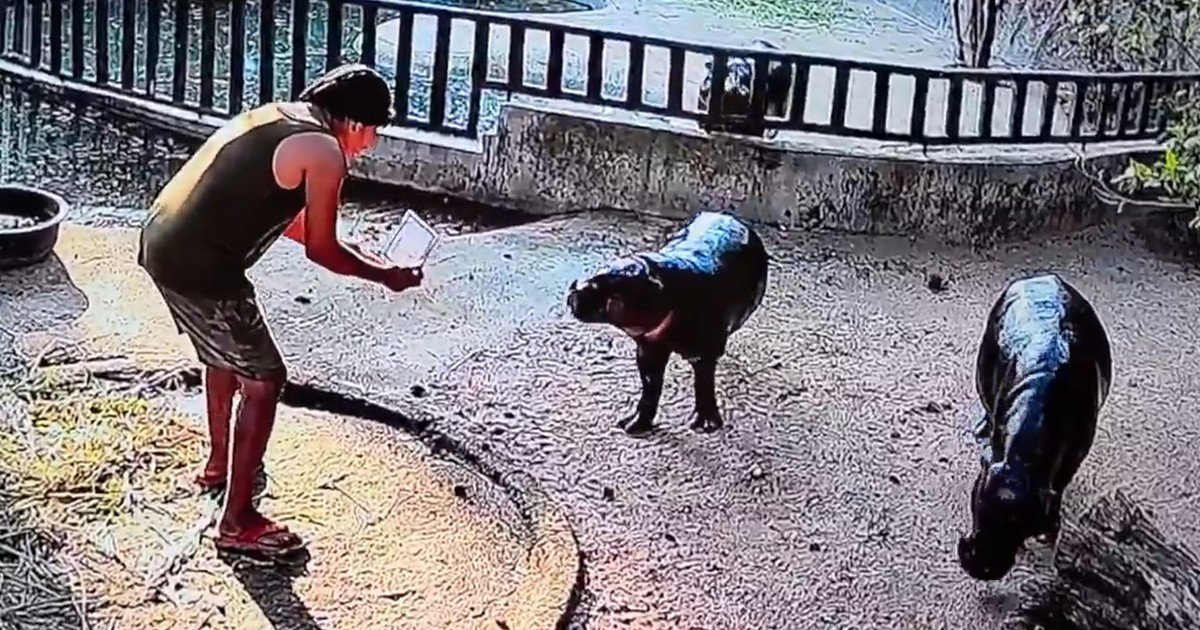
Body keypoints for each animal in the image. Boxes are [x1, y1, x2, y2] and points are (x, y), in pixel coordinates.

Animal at [566, 212, 769, 434]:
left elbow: (703, 384)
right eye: (599, 269)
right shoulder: (649, 347)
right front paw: (629, 426)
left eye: (613, 289)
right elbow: (650, 386)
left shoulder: (705, 349)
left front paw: (705, 427)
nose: (575, 286)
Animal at [958, 273, 1112, 581]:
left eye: (1021, 523)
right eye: (978, 499)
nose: (981, 566)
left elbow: (1060, 487)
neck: (1022, 461)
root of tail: (1045, 275)